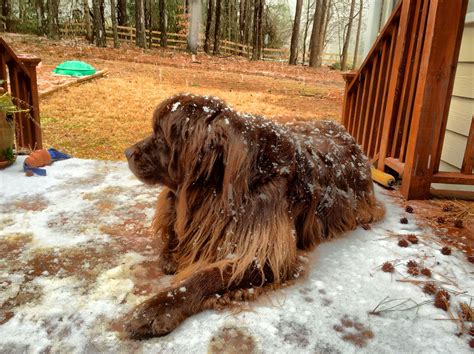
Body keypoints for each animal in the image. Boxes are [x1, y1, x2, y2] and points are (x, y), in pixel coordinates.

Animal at [124, 93, 384, 338]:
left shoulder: (267, 256)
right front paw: (173, 252)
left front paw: (156, 309)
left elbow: (208, 276)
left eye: (160, 135)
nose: (127, 152)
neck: (218, 190)